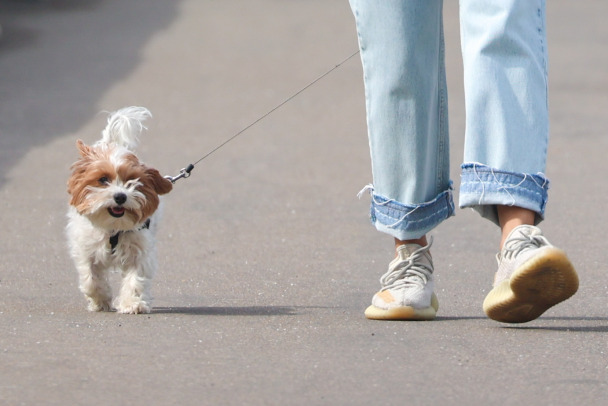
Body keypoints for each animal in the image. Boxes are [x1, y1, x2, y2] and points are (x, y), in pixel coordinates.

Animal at [68, 105, 175, 314]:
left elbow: (135, 279)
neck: (113, 228)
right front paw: (100, 301)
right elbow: (91, 279)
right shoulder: (86, 249)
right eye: (103, 180)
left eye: (132, 181)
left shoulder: (139, 251)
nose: (120, 196)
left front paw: (132, 303)